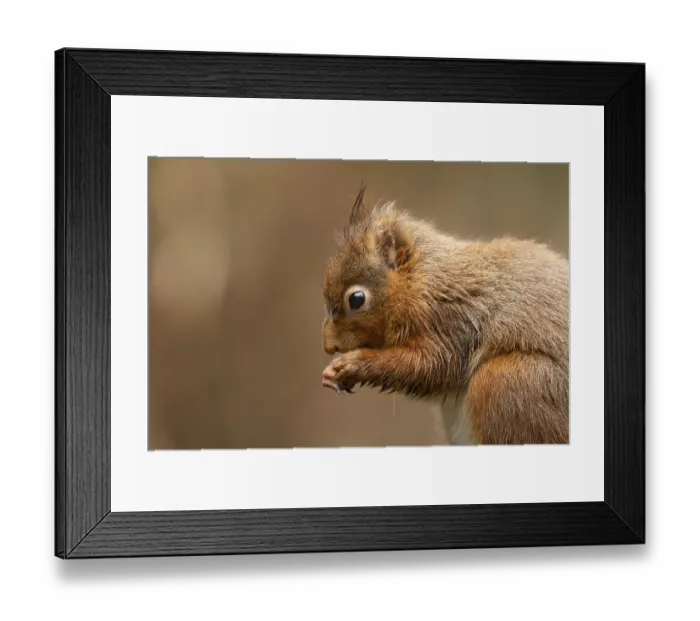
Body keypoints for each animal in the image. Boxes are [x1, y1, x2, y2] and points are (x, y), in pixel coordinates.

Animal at [321, 183, 569, 445]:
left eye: (356, 299)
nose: (328, 345)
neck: (423, 280)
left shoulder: (452, 320)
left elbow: (431, 365)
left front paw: (353, 363)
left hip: (509, 382)